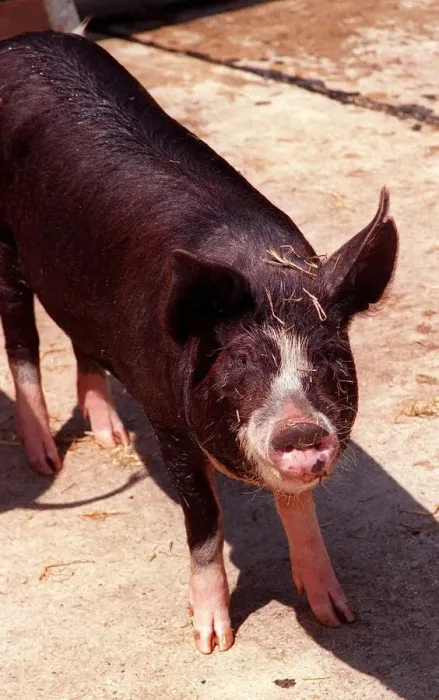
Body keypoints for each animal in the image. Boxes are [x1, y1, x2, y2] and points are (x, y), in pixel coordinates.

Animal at [0, 31, 398, 654]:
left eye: (330, 359)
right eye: (240, 361)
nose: (301, 431)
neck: (262, 271)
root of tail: (19, 41)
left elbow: (298, 505)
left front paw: (337, 615)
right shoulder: (170, 424)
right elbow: (205, 520)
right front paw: (213, 643)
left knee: (81, 337)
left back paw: (111, 438)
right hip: (5, 245)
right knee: (20, 332)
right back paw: (45, 462)